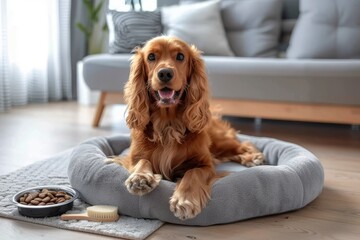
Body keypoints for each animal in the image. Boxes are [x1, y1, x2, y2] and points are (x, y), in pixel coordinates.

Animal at [112, 34, 264, 220]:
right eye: (151, 57)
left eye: (180, 56)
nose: (165, 73)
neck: (168, 124)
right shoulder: (132, 157)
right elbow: (142, 161)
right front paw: (140, 177)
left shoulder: (205, 164)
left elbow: (193, 173)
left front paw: (185, 200)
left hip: (219, 142)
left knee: (243, 144)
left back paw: (252, 157)